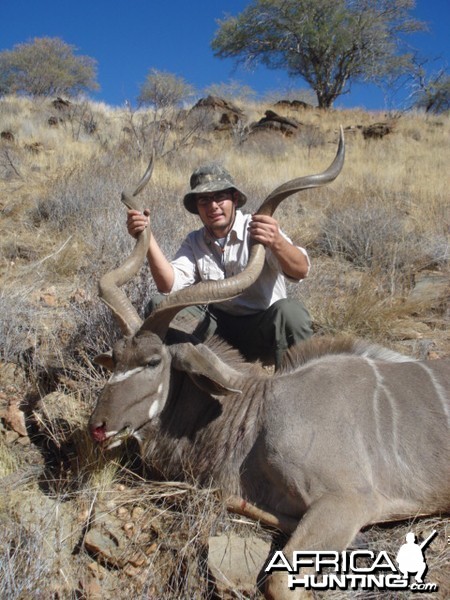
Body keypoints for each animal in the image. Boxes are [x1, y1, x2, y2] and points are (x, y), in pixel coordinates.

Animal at [89, 132, 450, 600]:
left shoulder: (348, 500)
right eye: (115, 357)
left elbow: (279, 580)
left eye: (153, 361)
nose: (98, 427)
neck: (256, 412)